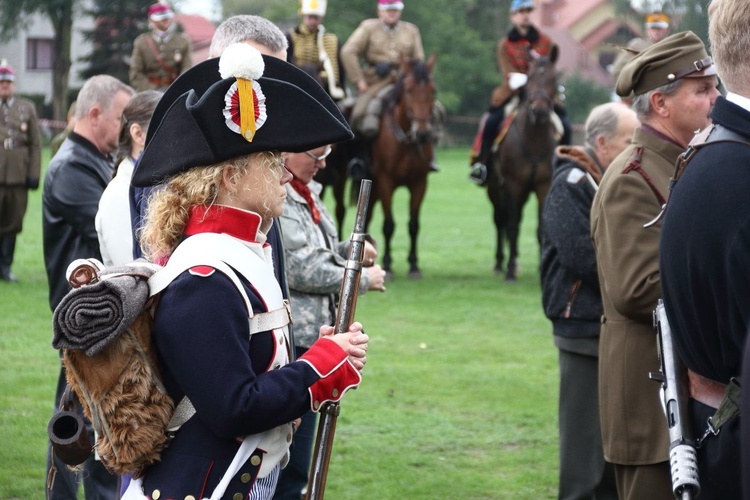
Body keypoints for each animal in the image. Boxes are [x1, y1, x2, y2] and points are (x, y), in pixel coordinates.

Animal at [368, 55, 438, 282]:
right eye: (409, 90)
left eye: (433, 90)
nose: (423, 133)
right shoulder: (385, 182)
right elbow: (389, 225)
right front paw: (388, 265)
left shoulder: (419, 184)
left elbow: (413, 225)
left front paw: (414, 265)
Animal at [490, 53, 560, 286]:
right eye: (529, 77)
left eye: (554, 78)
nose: (539, 110)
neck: (533, 139)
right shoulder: (513, 185)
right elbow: (512, 227)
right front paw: (510, 272)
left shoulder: (543, 186)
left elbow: (541, 228)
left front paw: (542, 270)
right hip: (496, 189)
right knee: (500, 221)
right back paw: (500, 264)